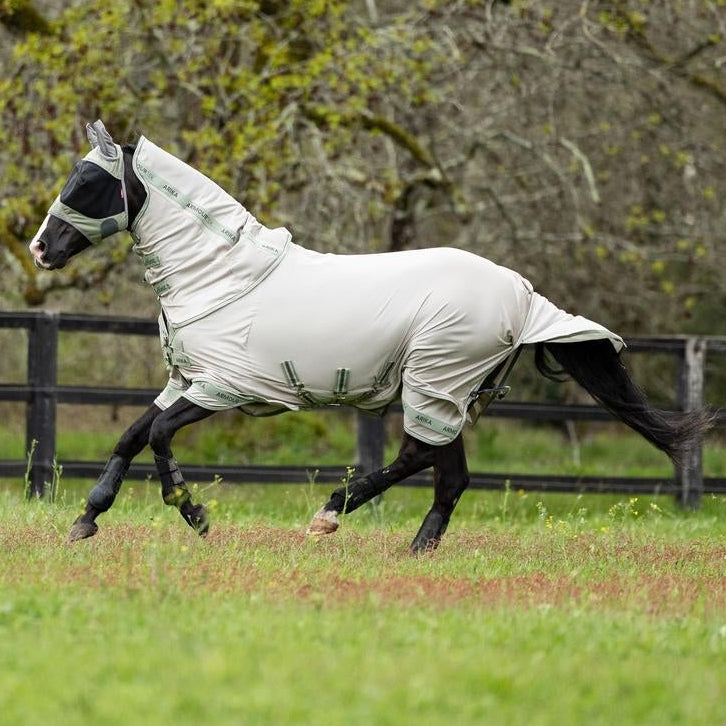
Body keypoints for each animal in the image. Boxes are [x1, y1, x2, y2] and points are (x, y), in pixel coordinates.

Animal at [29, 120, 713, 553]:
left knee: (422, 460)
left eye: (87, 183)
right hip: (445, 393)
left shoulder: (226, 388)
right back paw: (410, 547)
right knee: (446, 473)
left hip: (434, 384)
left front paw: (192, 512)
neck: (223, 276)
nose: (41, 249)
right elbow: (132, 433)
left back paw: (332, 517)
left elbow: (160, 437)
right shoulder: (185, 382)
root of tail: (521, 292)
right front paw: (86, 520)